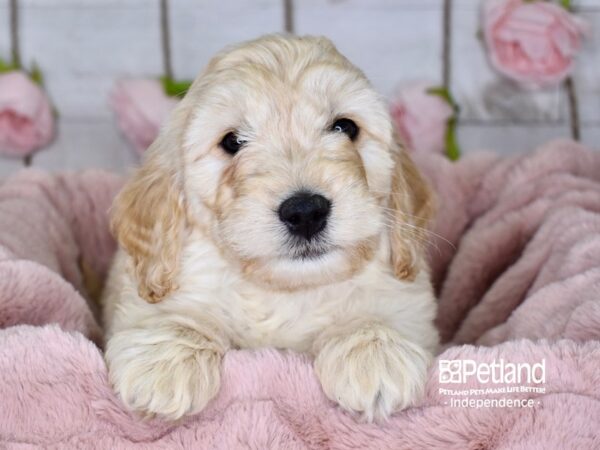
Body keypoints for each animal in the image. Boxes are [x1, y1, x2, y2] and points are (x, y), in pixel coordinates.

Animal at [103, 34, 438, 422]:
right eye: (232, 142)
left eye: (345, 127)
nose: (306, 212)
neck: (285, 290)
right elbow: (176, 311)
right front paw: (166, 359)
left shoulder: (408, 297)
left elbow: (379, 309)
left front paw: (374, 350)